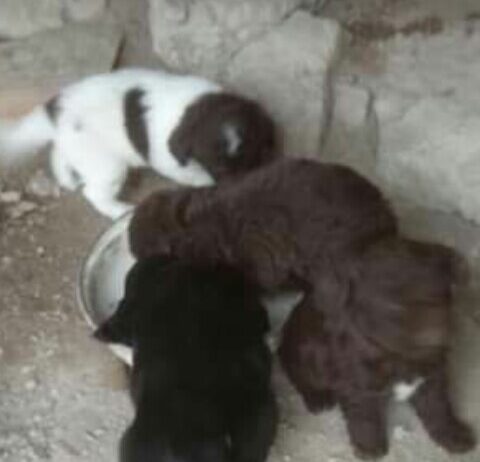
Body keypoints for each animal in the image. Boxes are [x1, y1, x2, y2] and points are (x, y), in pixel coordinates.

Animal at [0, 68, 276, 218]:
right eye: (220, 169)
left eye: (255, 159)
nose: (243, 195)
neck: (194, 105)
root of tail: (54, 111)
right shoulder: (170, 161)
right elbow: (197, 176)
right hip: (107, 166)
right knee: (93, 193)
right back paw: (118, 209)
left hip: (77, 145)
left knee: (58, 154)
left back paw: (66, 179)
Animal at [280, 238, 474, 458]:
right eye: (391, 306)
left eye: (440, 294)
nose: (435, 336)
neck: (400, 356)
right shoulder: (359, 387)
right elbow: (365, 417)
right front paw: (369, 447)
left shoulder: (432, 377)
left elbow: (439, 408)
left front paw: (452, 435)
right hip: (307, 355)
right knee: (297, 374)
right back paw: (317, 398)